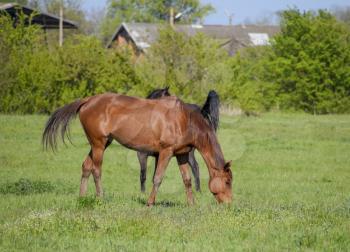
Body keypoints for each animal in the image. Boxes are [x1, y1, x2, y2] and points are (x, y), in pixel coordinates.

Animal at [41, 92, 232, 205]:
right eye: (228, 182)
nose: (229, 203)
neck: (184, 119)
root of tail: (88, 100)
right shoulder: (165, 152)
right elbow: (157, 178)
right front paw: (150, 202)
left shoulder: (182, 155)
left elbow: (187, 180)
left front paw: (191, 204)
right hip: (98, 144)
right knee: (96, 170)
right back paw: (100, 197)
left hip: (102, 143)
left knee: (86, 167)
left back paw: (82, 197)